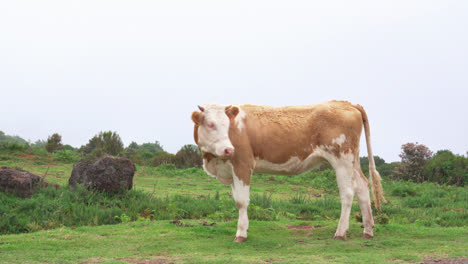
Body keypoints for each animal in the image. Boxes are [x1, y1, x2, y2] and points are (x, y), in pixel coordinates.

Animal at [191, 100, 388, 241]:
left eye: (227, 125)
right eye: (210, 124)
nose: (228, 149)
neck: (213, 160)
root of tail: (347, 103)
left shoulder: (242, 165)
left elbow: (242, 201)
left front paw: (241, 234)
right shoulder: (231, 171)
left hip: (342, 160)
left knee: (347, 193)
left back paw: (340, 232)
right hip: (353, 160)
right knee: (362, 187)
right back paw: (368, 230)